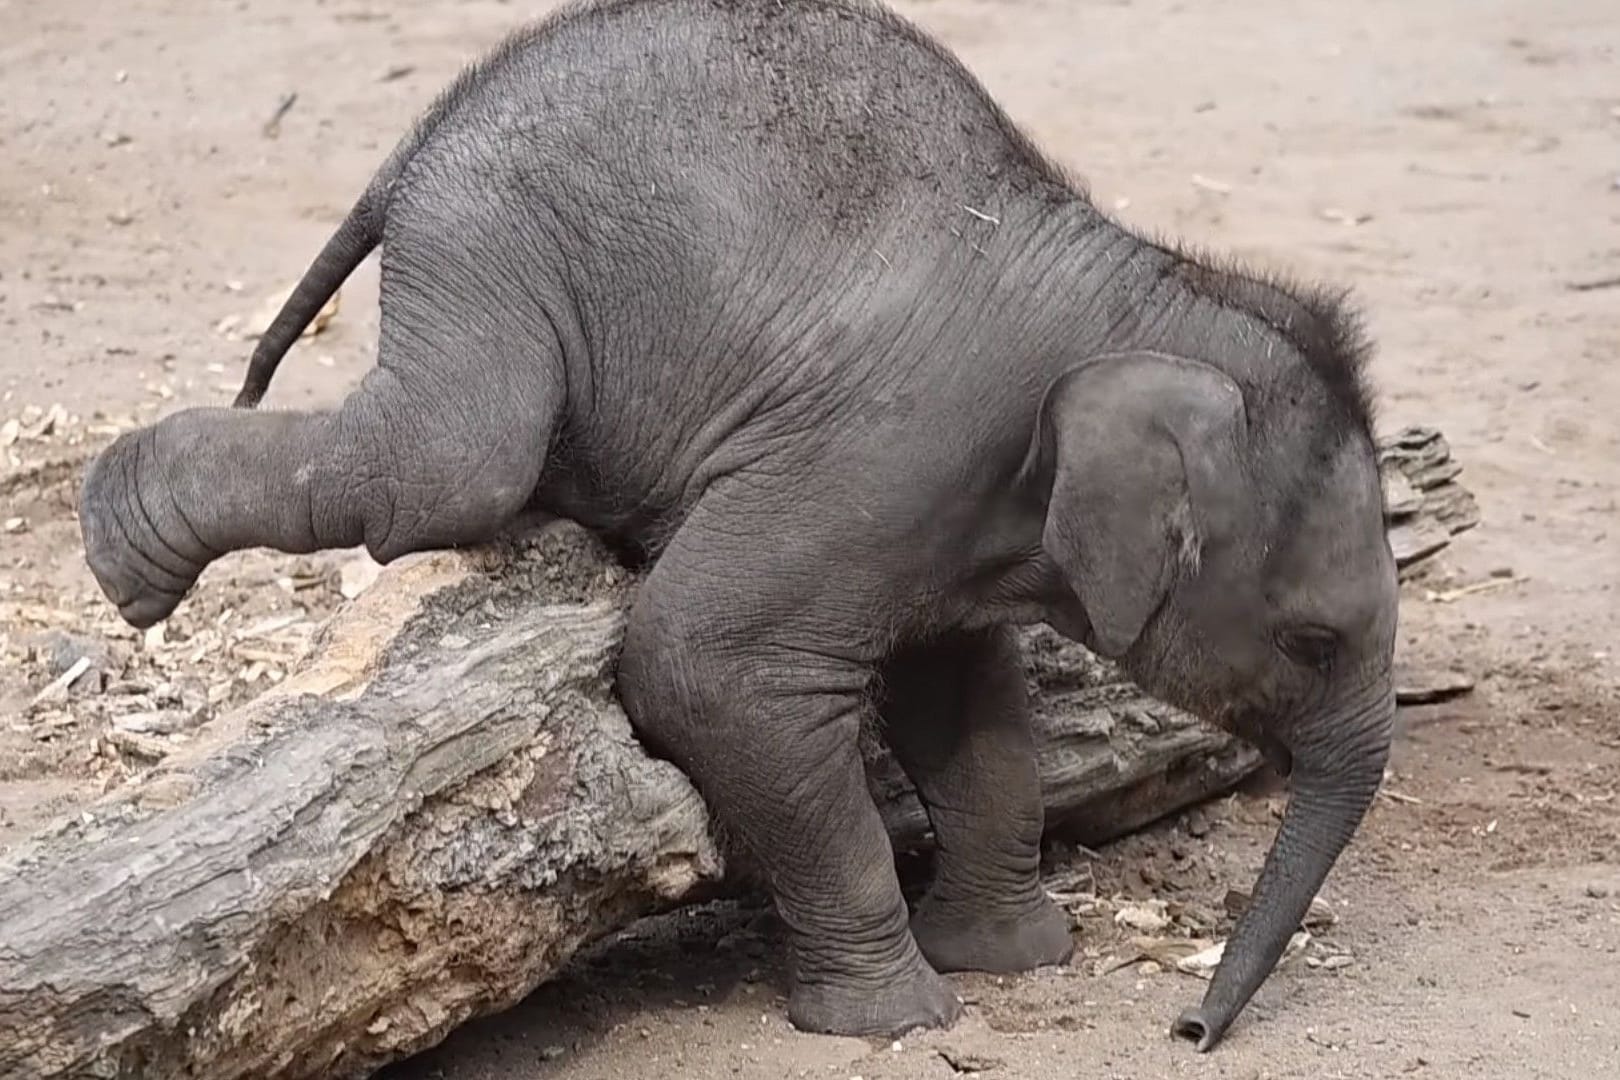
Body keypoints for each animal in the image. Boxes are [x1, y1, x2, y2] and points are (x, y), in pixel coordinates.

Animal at [78, 0, 1393, 1049]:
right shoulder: (882, 453)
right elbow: (705, 664)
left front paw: (1011, 959)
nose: (1190, 1030)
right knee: (446, 466)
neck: (1146, 293)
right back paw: (120, 552)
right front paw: (899, 1022)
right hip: (492, 244)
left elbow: (968, 706)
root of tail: (421, 139)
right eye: (1311, 641)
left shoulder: (944, 511)